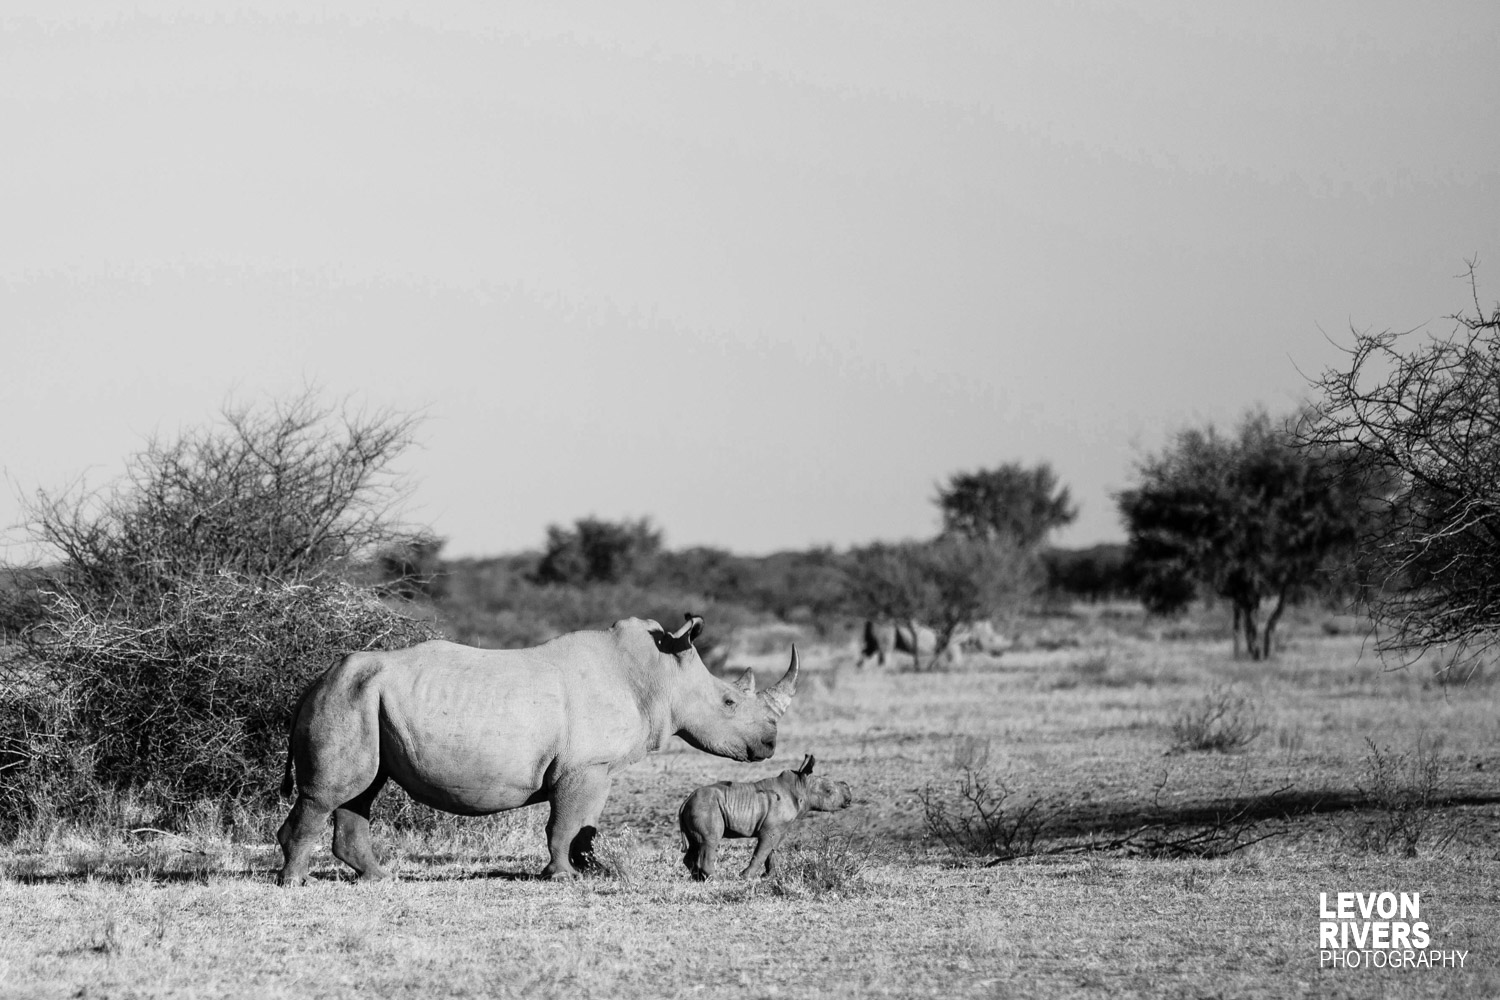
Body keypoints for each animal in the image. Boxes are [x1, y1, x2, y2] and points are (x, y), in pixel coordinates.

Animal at [276, 614, 798, 885]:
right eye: (729, 702)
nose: (769, 745)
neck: (657, 675)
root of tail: (314, 680)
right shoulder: (581, 767)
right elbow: (563, 824)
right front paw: (562, 876)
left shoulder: (598, 769)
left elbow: (586, 825)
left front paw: (591, 871)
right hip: (349, 696)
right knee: (331, 793)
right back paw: (295, 882)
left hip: (361, 697)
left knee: (361, 792)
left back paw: (377, 878)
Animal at [677, 753, 852, 880]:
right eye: (829, 791)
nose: (849, 799)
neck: (800, 786)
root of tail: (685, 802)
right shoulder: (770, 830)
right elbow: (762, 852)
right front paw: (745, 877)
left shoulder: (779, 829)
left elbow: (771, 852)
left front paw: (769, 877)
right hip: (706, 807)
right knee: (709, 842)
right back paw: (716, 879)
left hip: (698, 806)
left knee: (696, 844)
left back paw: (698, 879)